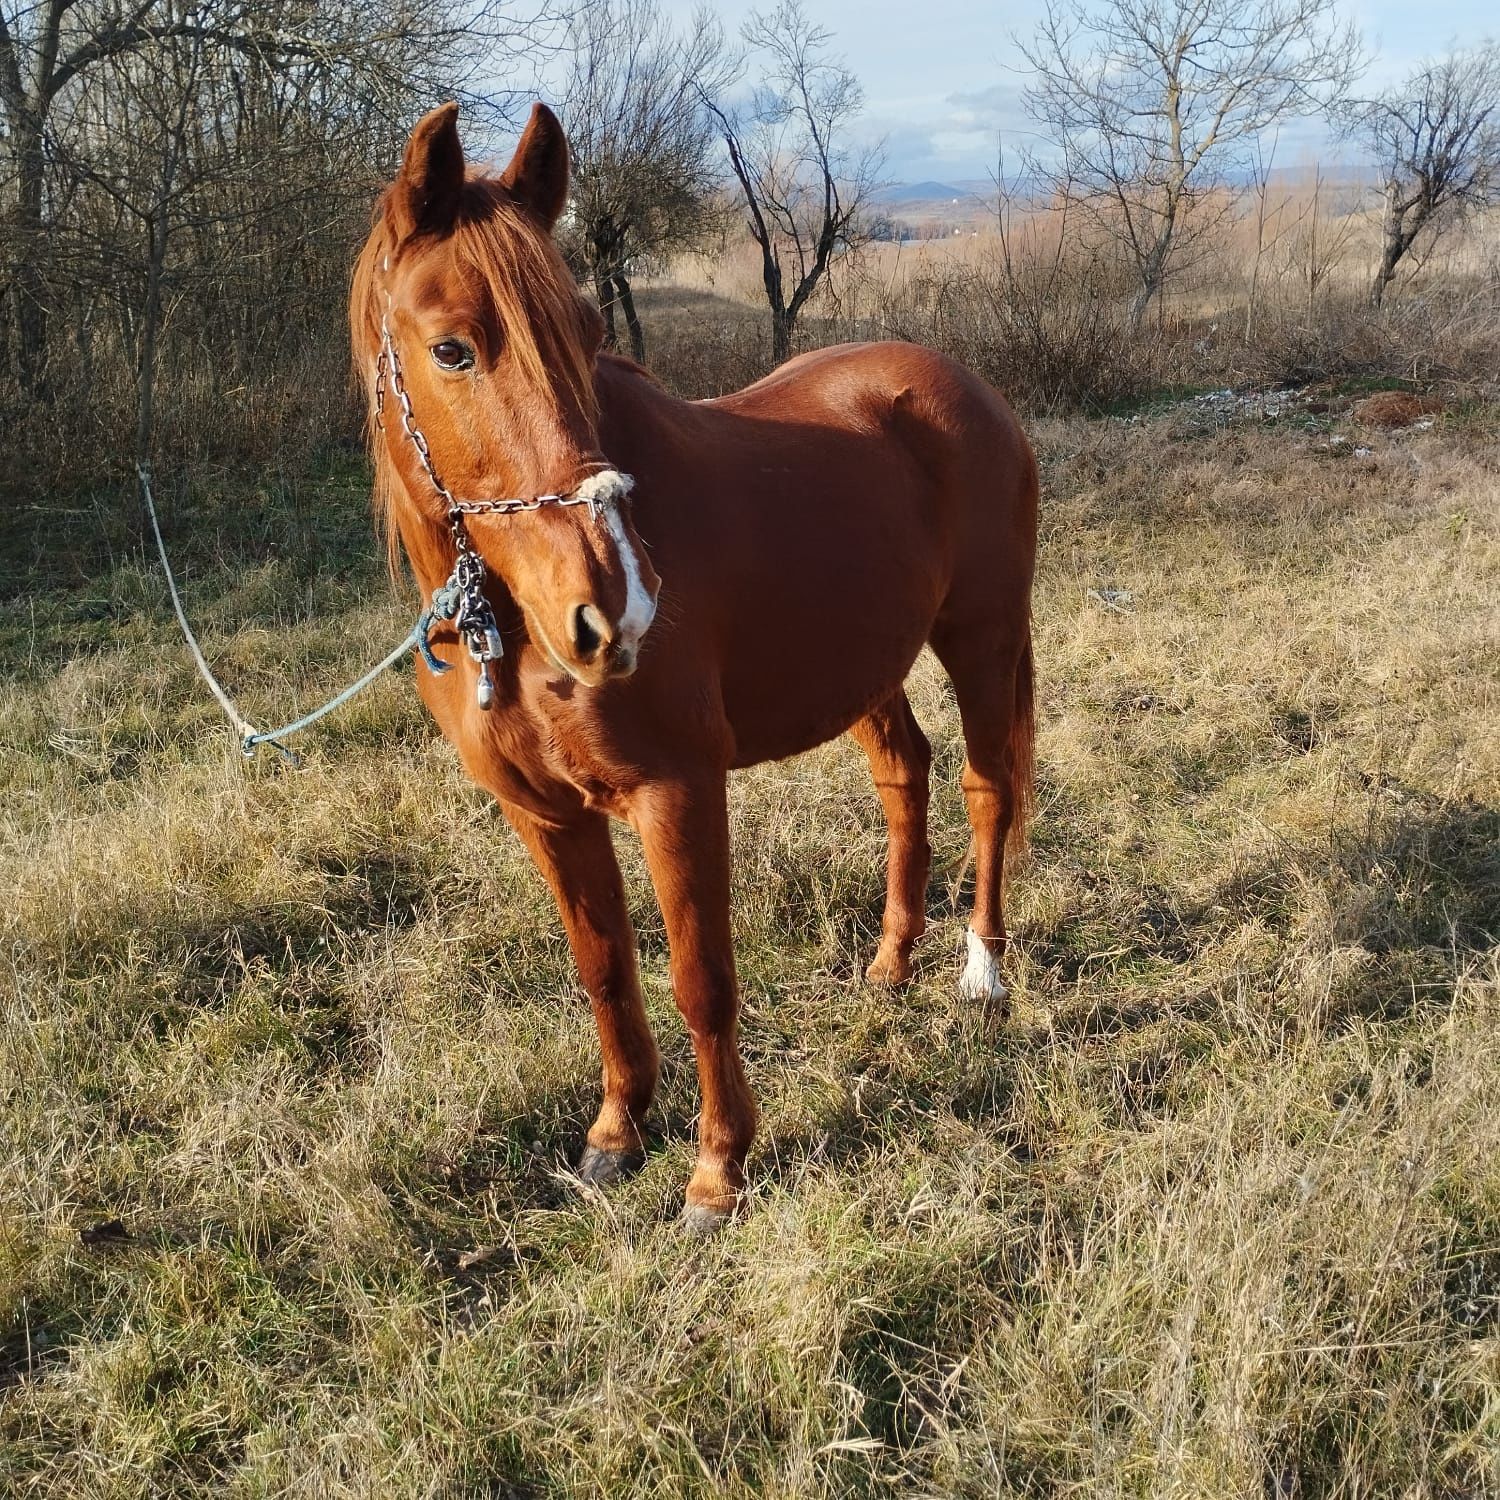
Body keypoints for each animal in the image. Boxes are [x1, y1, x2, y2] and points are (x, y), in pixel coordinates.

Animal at [354, 105, 1032, 1230]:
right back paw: (891, 963)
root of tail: (959, 382)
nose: (615, 607)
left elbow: (700, 978)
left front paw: (718, 1170)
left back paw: (982, 974)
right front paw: (617, 1133)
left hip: (984, 635)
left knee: (990, 787)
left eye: (588, 335)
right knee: (907, 775)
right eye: (451, 348)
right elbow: (603, 969)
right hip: (864, 667)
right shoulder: (549, 817)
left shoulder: (676, 790)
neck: (509, 629)